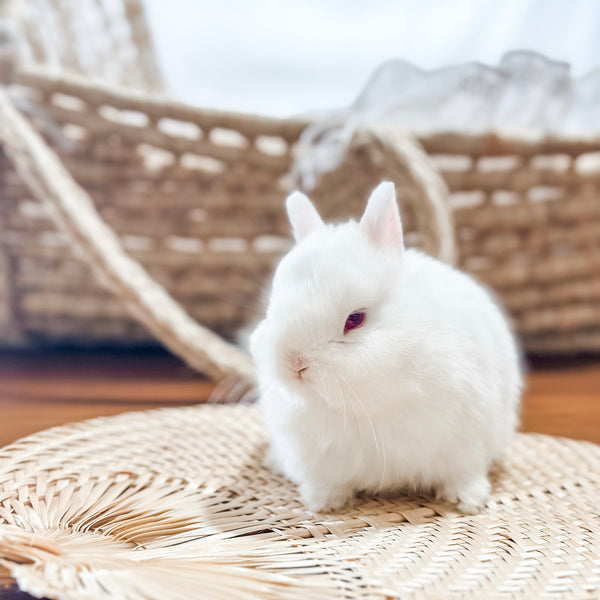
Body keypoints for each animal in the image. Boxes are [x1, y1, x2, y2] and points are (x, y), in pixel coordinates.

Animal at [248, 180, 520, 512]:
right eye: (273, 308)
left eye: (355, 319)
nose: (295, 363)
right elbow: (329, 482)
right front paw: (322, 503)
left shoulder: (466, 442)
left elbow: (463, 474)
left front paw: (469, 500)